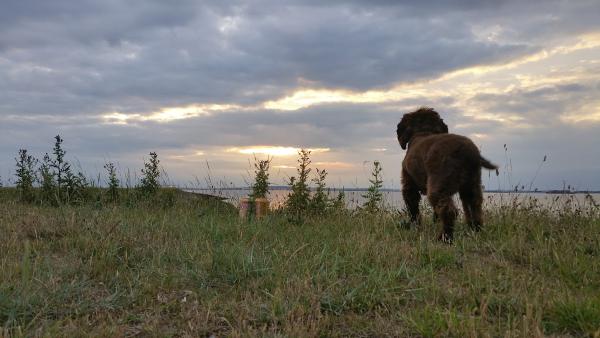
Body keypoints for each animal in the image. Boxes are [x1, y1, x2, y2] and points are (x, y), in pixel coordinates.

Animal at [398, 107, 496, 242]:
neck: (423, 132)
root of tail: (468, 152)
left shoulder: (409, 184)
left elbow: (413, 209)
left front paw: (415, 227)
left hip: (438, 188)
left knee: (449, 211)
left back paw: (444, 238)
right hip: (471, 185)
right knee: (474, 206)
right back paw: (475, 230)